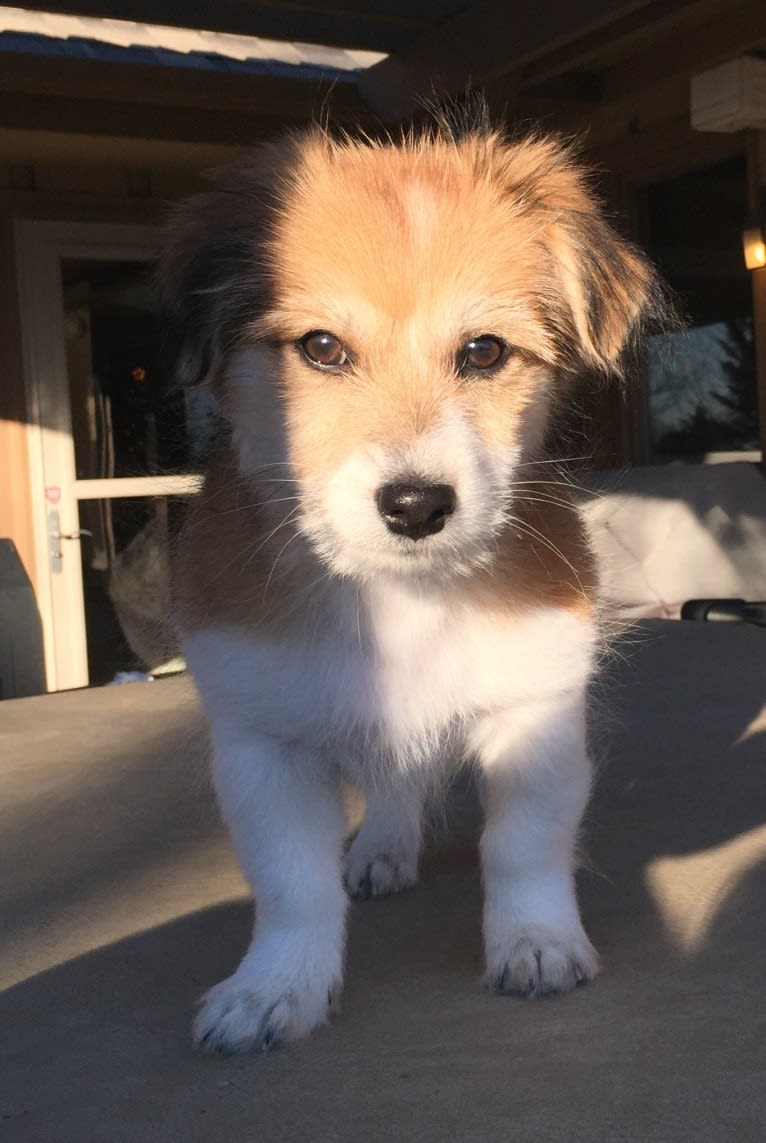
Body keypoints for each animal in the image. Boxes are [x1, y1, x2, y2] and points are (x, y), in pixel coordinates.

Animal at [160, 109, 653, 1051]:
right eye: (320, 347)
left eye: (485, 351)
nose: (418, 504)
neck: (401, 600)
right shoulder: (263, 746)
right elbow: (291, 884)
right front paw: (275, 986)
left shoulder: (535, 708)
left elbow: (523, 844)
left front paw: (536, 941)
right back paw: (379, 850)